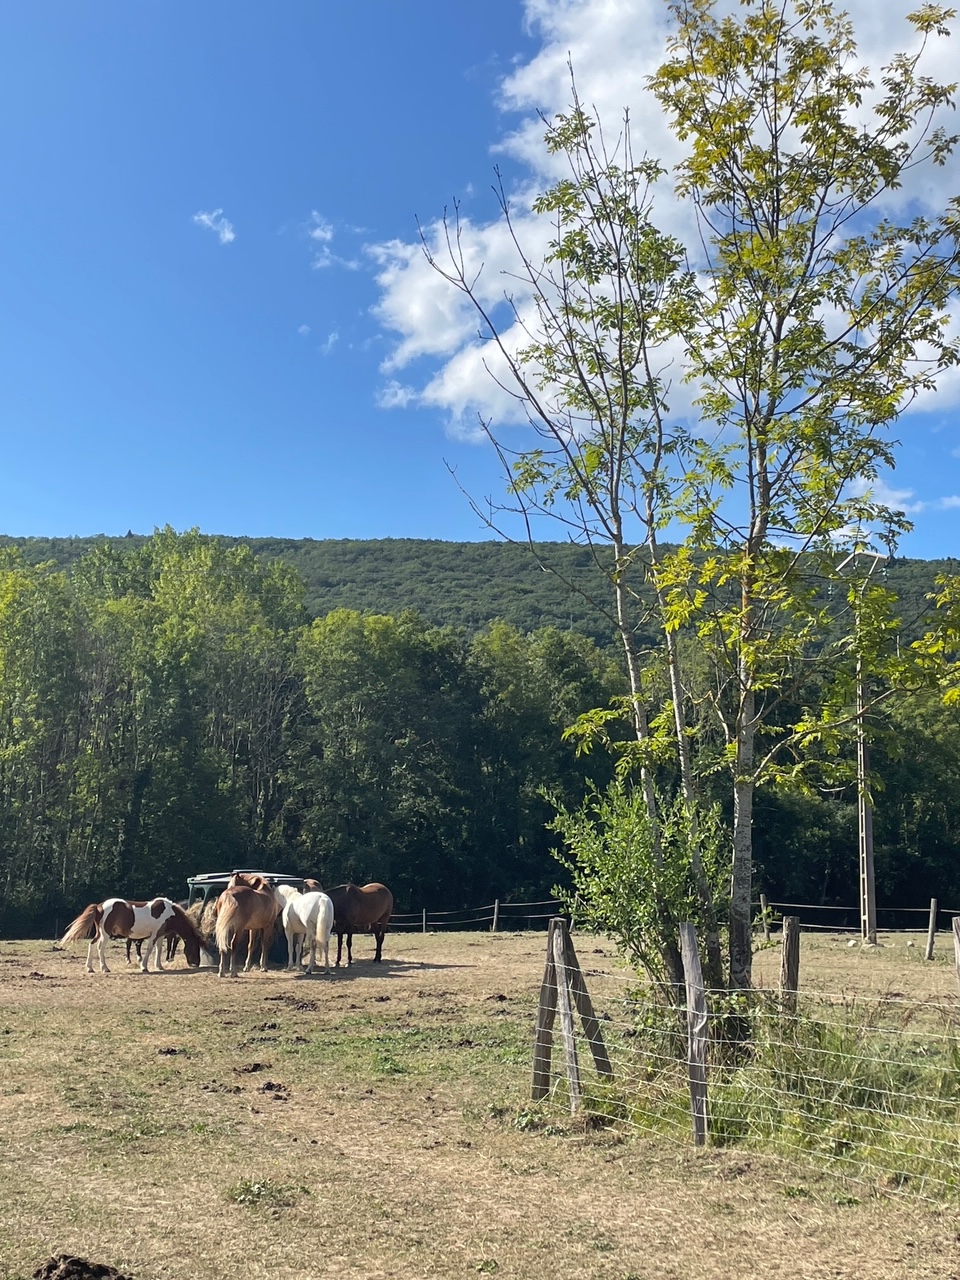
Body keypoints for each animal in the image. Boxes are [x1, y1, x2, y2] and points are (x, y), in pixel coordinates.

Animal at [61, 896, 206, 972]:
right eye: (195, 947)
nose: (196, 963)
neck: (169, 913)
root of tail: (99, 907)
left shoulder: (160, 935)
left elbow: (159, 950)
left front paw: (159, 966)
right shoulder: (154, 935)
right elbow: (150, 949)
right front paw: (144, 967)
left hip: (99, 933)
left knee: (91, 945)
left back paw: (90, 968)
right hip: (105, 934)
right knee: (100, 948)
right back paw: (104, 968)